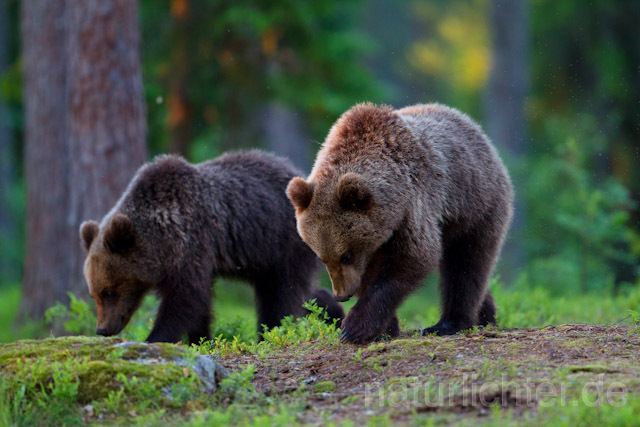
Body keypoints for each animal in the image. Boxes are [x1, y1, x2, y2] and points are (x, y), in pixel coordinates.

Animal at [80, 150, 344, 344]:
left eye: (109, 291)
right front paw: (201, 340)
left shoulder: (191, 243)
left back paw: (271, 333)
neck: (161, 240)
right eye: (94, 293)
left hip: (283, 244)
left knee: (282, 295)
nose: (102, 329)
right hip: (266, 257)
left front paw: (154, 338)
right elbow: (199, 304)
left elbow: (186, 299)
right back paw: (331, 312)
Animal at [288, 103, 512, 344]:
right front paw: (384, 329)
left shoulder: (414, 206)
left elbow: (412, 259)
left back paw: (450, 323)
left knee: (467, 264)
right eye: (322, 258)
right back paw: (486, 315)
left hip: (475, 205)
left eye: (345, 256)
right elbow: (370, 274)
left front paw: (354, 327)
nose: (342, 295)